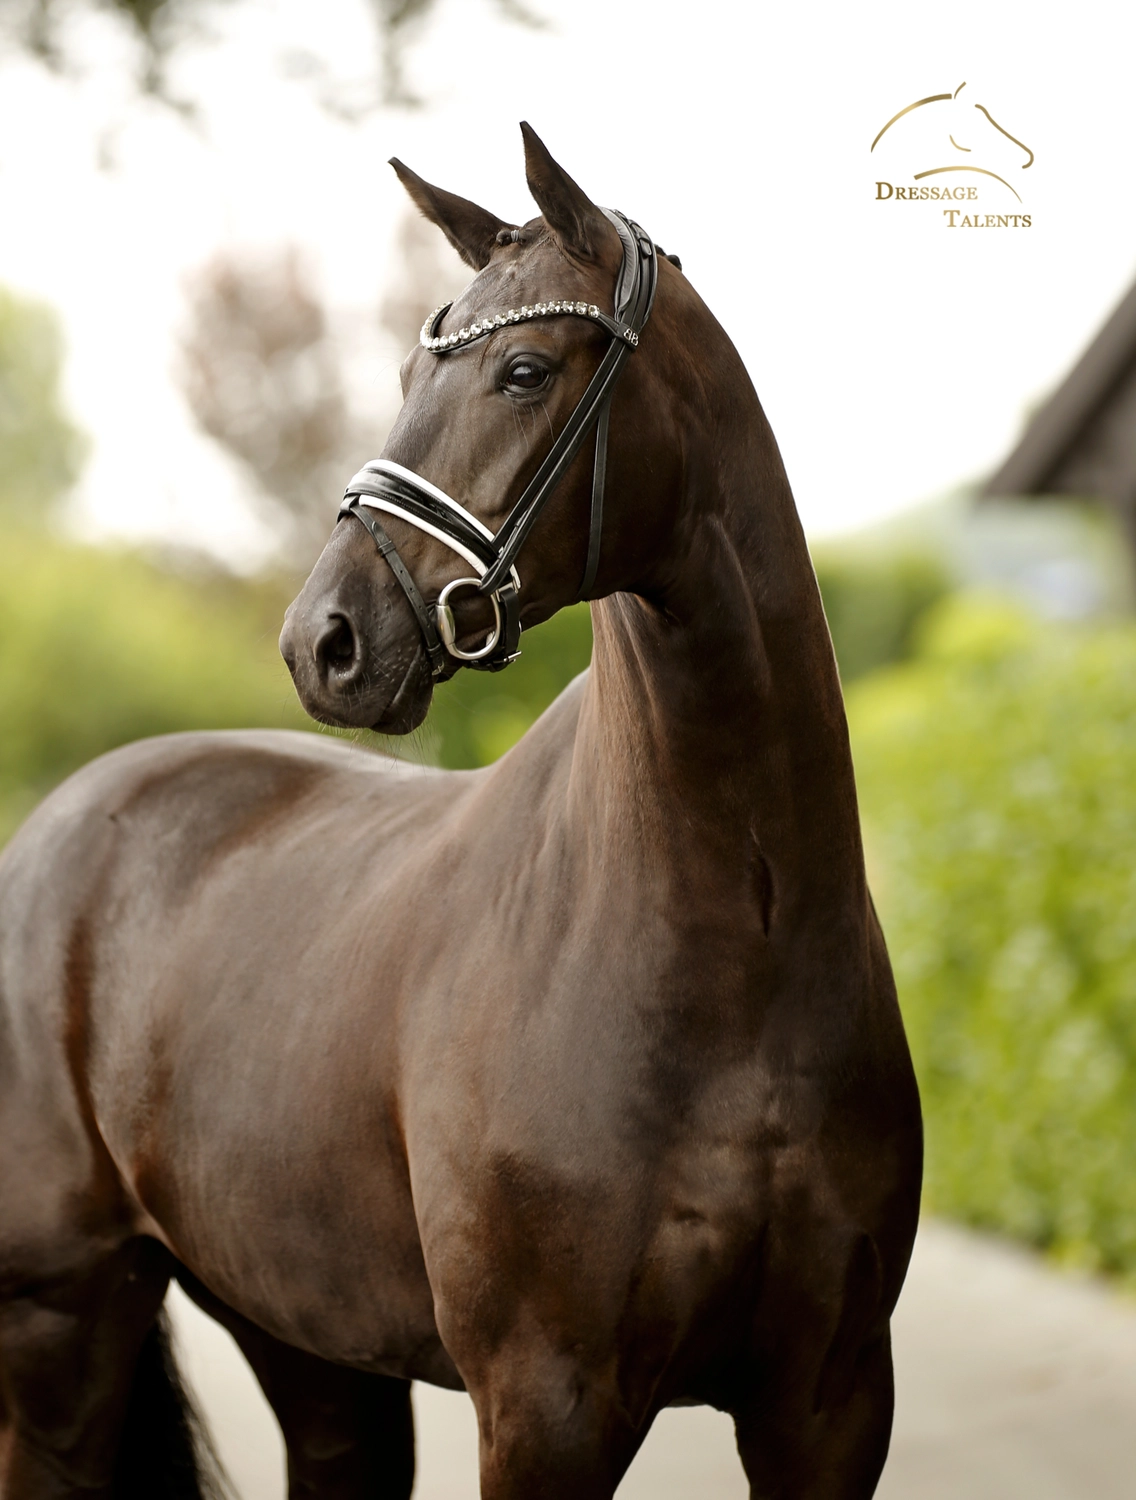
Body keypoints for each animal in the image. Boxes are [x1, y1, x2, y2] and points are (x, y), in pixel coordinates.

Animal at [0, 124, 922, 1498]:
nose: (322, 641)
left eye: (524, 369)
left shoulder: (829, 1403)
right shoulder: (547, 1402)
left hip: (311, 1349)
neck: (728, 946)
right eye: (403, 373)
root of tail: (60, 823)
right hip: (62, 1328)